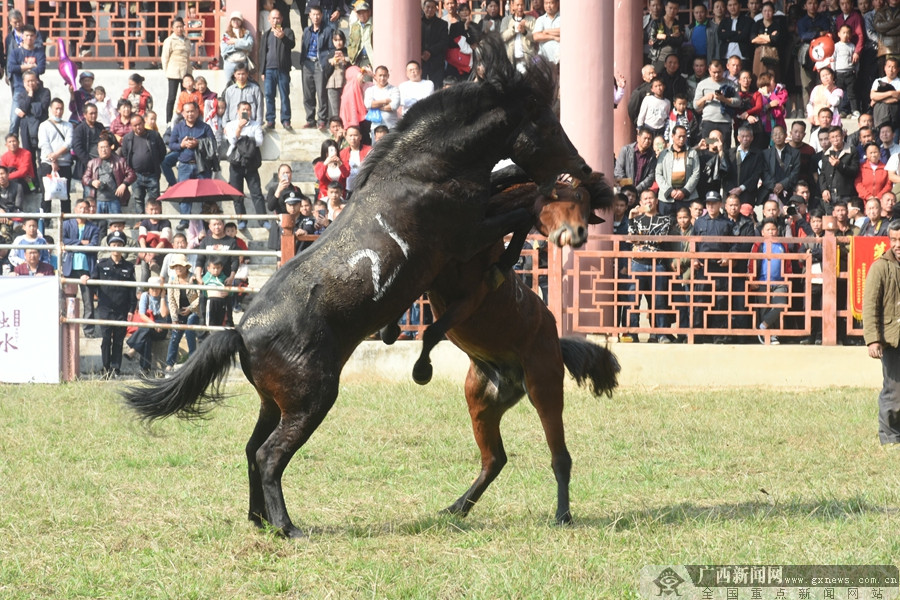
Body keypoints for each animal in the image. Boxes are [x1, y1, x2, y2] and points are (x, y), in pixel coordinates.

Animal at [121, 41, 596, 540]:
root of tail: (240, 333)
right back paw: (287, 527)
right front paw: (525, 239)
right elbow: (523, 204)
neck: (423, 170)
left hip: (273, 404)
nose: (582, 168)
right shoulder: (467, 235)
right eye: (546, 124)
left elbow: (513, 189)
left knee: (252, 449)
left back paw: (259, 520)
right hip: (311, 402)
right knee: (270, 456)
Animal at [422, 172, 620, 520]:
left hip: (544, 390)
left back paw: (563, 514)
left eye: (587, 206)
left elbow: (433, 331)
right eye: (572, 196)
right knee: (494, 459)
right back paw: (457, 507)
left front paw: (422, 368)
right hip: (481, 402)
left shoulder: (471, 298)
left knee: (560, 457)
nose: (580, 234)